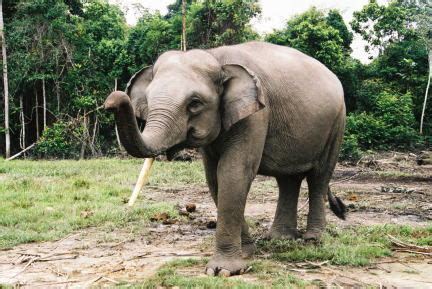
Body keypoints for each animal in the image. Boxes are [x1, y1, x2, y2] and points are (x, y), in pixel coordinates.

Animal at [104, 41, 348, 276]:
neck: (217, 57)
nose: (111, 101)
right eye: (148, 99)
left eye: (194, 103)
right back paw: (279, 238)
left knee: (319, 176)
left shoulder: (257, 114)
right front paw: (247, 252)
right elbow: (214, 178)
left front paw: (223, 270)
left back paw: (313, 239)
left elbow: (233, 172)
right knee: (288, 180)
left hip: (337, 123)